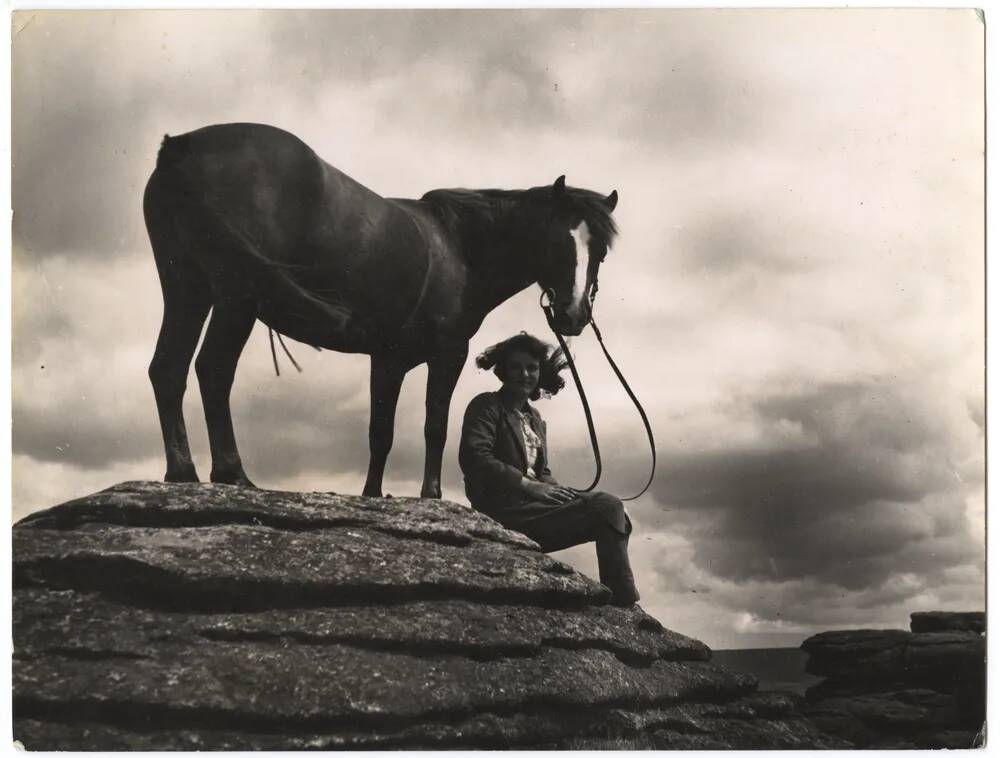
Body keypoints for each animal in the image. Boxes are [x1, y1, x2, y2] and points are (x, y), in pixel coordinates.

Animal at [143, 124, 616, 498]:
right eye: (555, 243)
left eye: (602, 251)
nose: (573, 316)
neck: (460, 247)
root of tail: (180, 146)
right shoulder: (449, 355)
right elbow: (434, 425)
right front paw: (431, 496)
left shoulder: (389, 360)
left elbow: (380, 433)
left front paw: (373, 494)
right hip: (235, 298)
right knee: (213, 369)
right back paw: (232, 474)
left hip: (186, 288)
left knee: (168, 368)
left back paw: (182, 472)